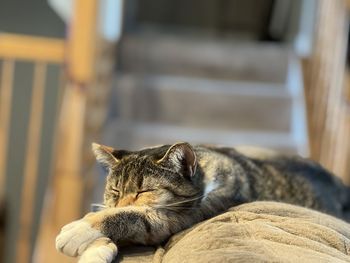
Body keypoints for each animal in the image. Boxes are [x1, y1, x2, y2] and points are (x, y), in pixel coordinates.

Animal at [55, 143, 350, 262]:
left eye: (144, 190)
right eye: (115, 190)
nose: (119, 201)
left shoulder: (177, 215)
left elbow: (134, 217)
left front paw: (78, 230)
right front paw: (94, 251)